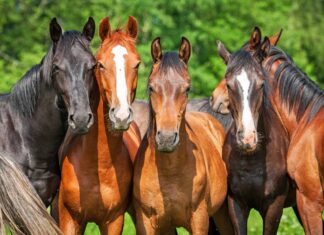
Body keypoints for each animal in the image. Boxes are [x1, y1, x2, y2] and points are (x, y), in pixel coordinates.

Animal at [58, 15, 140, 234]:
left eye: (137, 64)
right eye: (100, 65)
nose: (121, 116)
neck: (98, 165)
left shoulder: (114, 220)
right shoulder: (70, 219)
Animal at [132, 36, 233, 235]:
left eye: (187, 88)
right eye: (151, 88)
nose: (166, 139)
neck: (169, 171)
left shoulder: (199, 220)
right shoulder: (150, 223)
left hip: (223, 214)